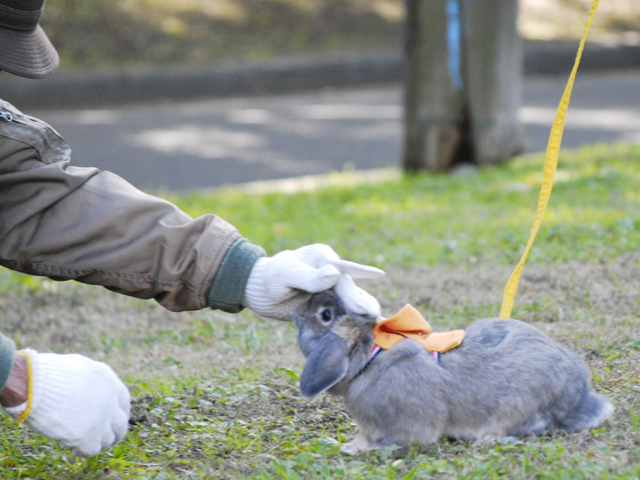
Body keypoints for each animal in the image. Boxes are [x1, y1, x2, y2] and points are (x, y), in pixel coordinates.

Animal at [294, 289, 614, 455]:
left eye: (325, 315)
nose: (298, 311)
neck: (371, 358)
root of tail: (578, 396)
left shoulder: (404, 428)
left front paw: (351, 449)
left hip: (518, 405)